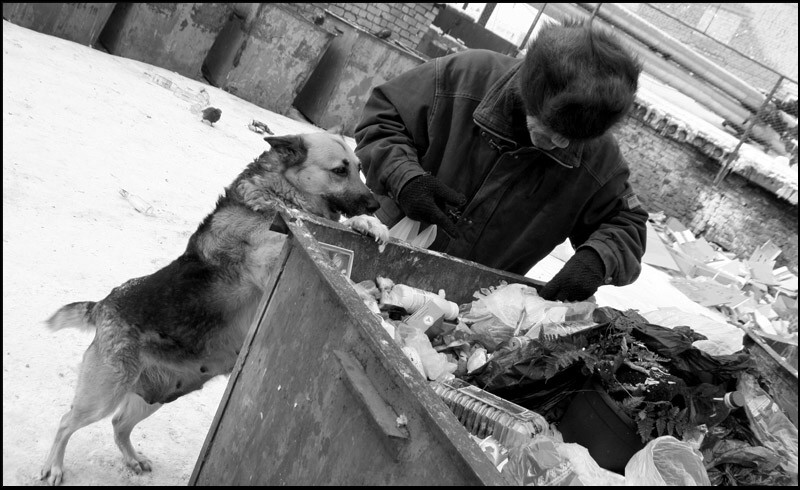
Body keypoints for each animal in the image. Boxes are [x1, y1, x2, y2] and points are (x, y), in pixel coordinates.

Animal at [41, 132, 390, 484]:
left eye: (360, 169)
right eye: (339, 170)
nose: (376, 205)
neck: (277, 194)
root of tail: (103, 305)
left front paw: (370, 225)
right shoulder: (271, 260)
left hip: (154, 395)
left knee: (118, 424)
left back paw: (132, 459)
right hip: (103, 394)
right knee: (66, 422)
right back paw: (54, 467)